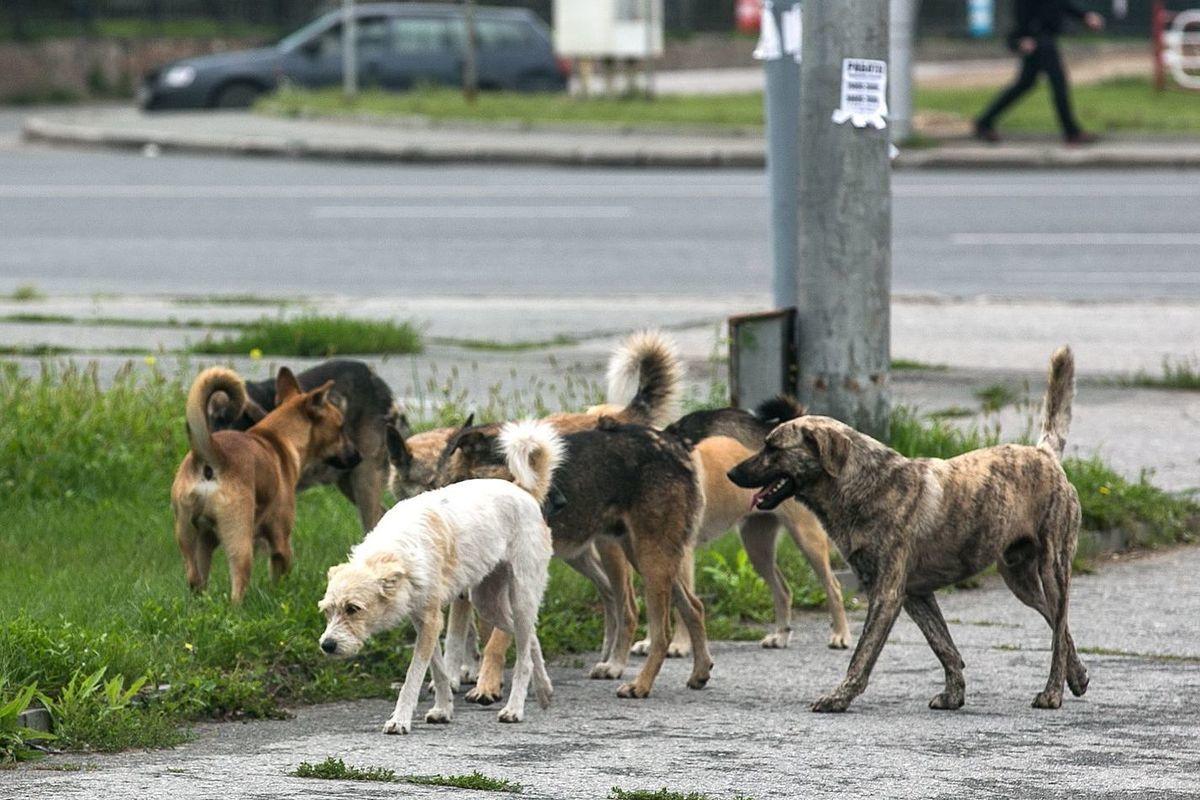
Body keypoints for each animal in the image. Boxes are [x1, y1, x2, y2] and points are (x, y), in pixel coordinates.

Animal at [319, 419, 561, 734]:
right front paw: (443, 709)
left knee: (523, 657)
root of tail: (523, 491)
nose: (327, 645)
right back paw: (544, 690)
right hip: (488, 603)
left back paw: (514, 708)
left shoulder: (432, 622)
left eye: (353, 609)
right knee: (530, 638)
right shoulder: (424, 622)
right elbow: (439, 670)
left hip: (520, 597)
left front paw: (400, 719)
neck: (396, 551)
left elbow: (414, 675)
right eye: (327, 611)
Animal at [729, 345, 1089, 714]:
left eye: (773, 447)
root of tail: (1044, 454)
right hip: (1019, 579)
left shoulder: (886, 595)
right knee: (1058, 624)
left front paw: (839, 696)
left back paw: (1053, 692)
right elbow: (944, 646)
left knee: (1058, 628)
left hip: (1053, 568)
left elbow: (862, 655)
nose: (731, 473)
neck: (864, 484)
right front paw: (954, 694)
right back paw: (1076, 676)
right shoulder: (915, 594)